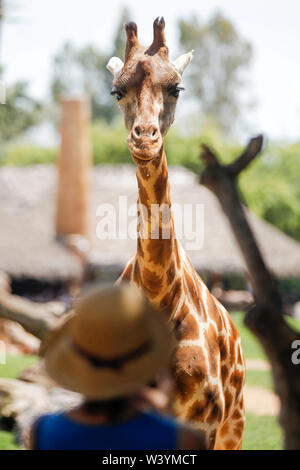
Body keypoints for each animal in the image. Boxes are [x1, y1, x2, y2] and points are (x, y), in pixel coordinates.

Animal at [106, 18, 245, 450]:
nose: (145, 137)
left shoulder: (203, 426)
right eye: (117, 91)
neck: (157, 297)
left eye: (176, 88)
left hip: (234, 427)